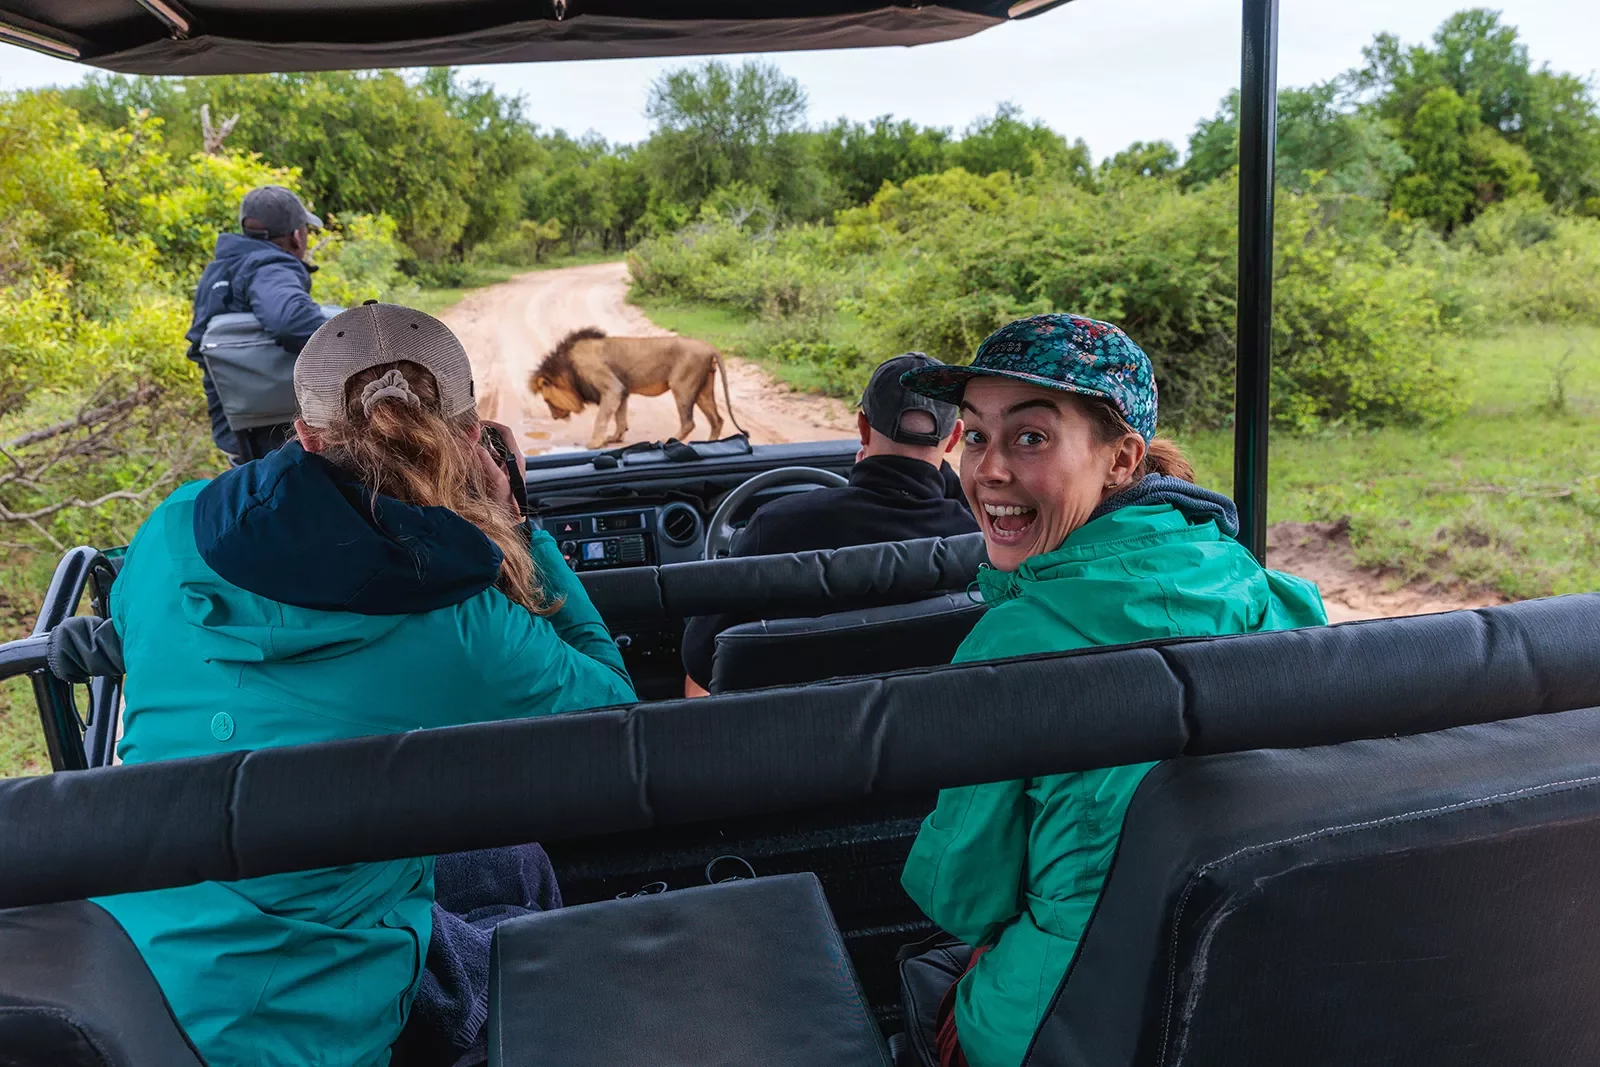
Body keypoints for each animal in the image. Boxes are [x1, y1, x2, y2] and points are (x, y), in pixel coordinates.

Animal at [531, 326, 742, 451]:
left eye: (546, 400)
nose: (554, 417)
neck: (568, 367)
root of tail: (709, 347)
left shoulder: (611, 387)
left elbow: (602, 418)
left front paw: (595, 443)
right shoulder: (621, 391)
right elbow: (619, 417)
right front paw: (614, 438)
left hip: (682, 386)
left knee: (689, 422)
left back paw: (669, 441)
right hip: (703, 390)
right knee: (717, 420)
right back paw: (711, 445)